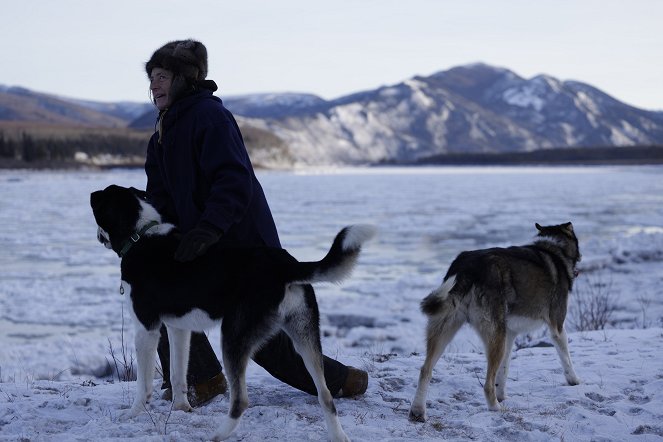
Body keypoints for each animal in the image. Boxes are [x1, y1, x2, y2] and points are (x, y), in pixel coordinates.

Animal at [91, 185, 376, 440]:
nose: (97, 236)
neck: (140, 235)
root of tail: (287, 265)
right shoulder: (178, 328)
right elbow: (178, 373)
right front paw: (182, 408)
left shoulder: (146, 329)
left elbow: (144, 384)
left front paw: (133, 413)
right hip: (304, 335)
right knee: (325, 395)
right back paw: (339, 436)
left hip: (233, 336)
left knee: (241, 401)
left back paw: (217, 435)